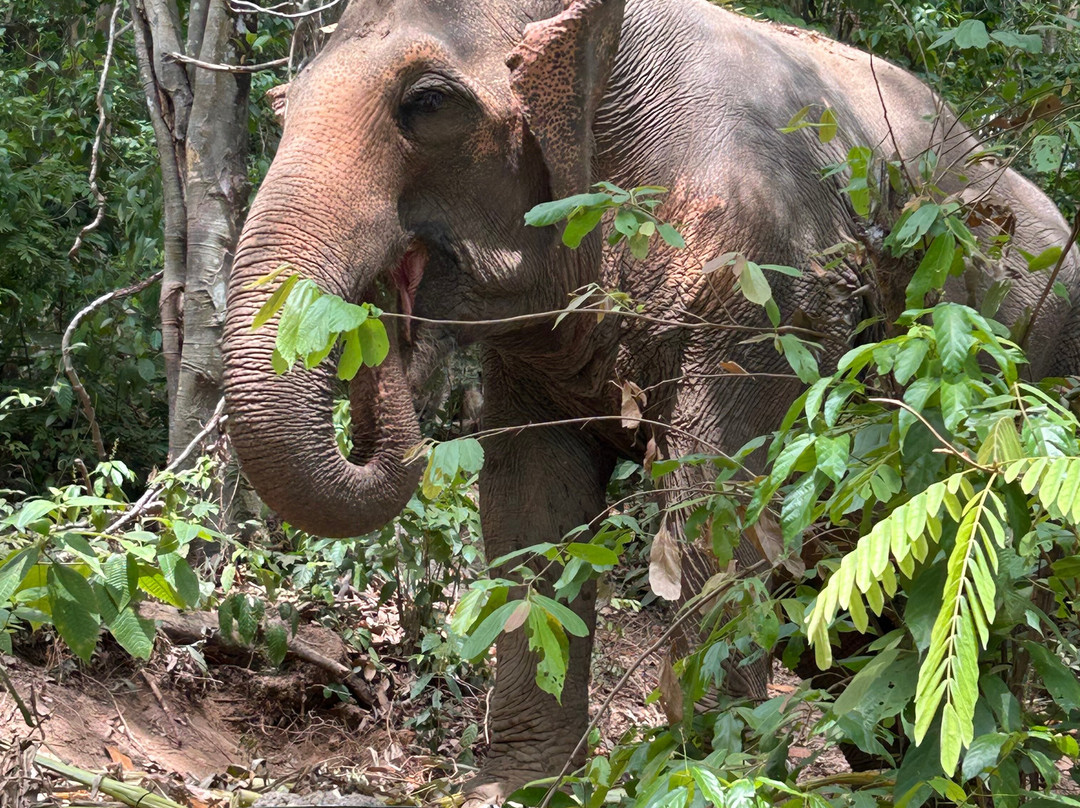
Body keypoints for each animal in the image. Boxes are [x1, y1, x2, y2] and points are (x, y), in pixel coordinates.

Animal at [222, 0, 1080, 800]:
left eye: (428, 103)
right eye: (280, 109)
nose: (383, 335)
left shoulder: (767, 285)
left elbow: (716, 511)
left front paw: (699, 779)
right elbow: (526, 506)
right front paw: (518, 790)